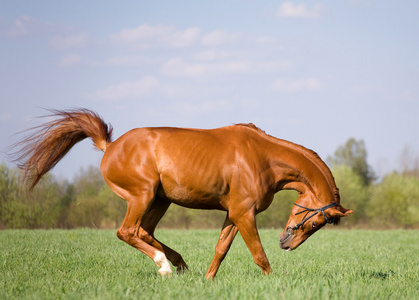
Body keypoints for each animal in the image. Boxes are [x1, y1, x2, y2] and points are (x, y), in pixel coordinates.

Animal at [13, 109, 352, 278]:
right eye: (314, 222)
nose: (286, 243)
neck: (262, 158)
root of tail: (108, 146)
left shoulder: (234, 213)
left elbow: (221, 249)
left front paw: (207, 280)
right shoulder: (244, 213)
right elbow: (258, 254)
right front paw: (274, 281)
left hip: (159, 200)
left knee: (143, 231)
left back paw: (178, 263)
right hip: (141, 196)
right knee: (127, 232)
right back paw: (164, 265)